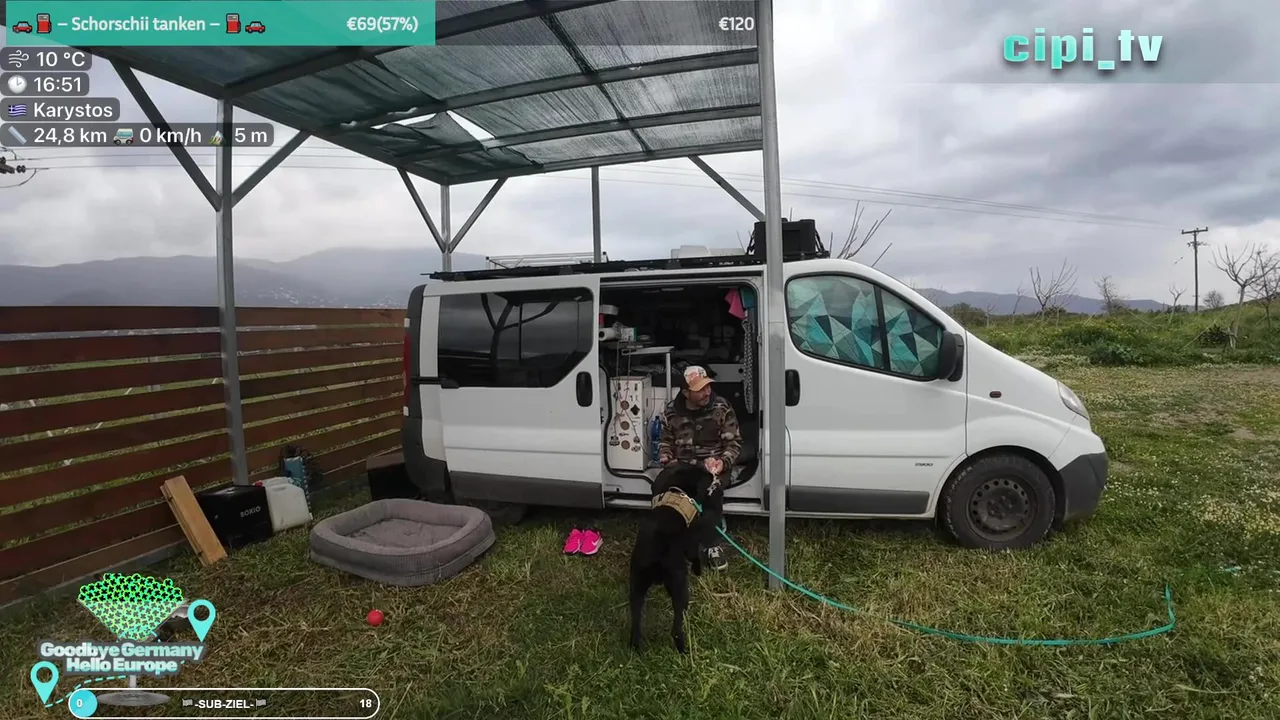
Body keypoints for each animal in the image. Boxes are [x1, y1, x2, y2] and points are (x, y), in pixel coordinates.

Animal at [628, 462, 720, 653]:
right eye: (702, 472)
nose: (712, 475)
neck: (677, 489)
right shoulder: (691, 543)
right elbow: (695, 557)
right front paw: (698, 571)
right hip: (679, 587)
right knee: (676, 626)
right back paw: (683, 648)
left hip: (637, 584)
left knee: (636, 621)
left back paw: (636, 646)